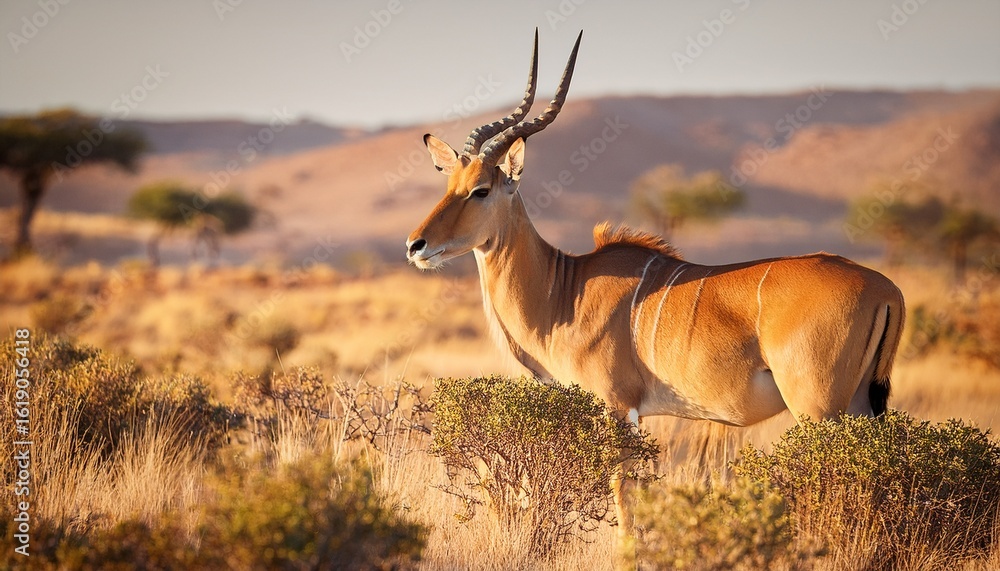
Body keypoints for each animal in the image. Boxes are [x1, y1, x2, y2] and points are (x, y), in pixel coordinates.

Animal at [405, 30, 905, 540]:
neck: (563, 290)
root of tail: (885, 289)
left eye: (481, 189)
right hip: (859, 408)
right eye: (449, 184)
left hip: (818, 408)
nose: (416, 245)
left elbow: (624, 500)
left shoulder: (615, 407)